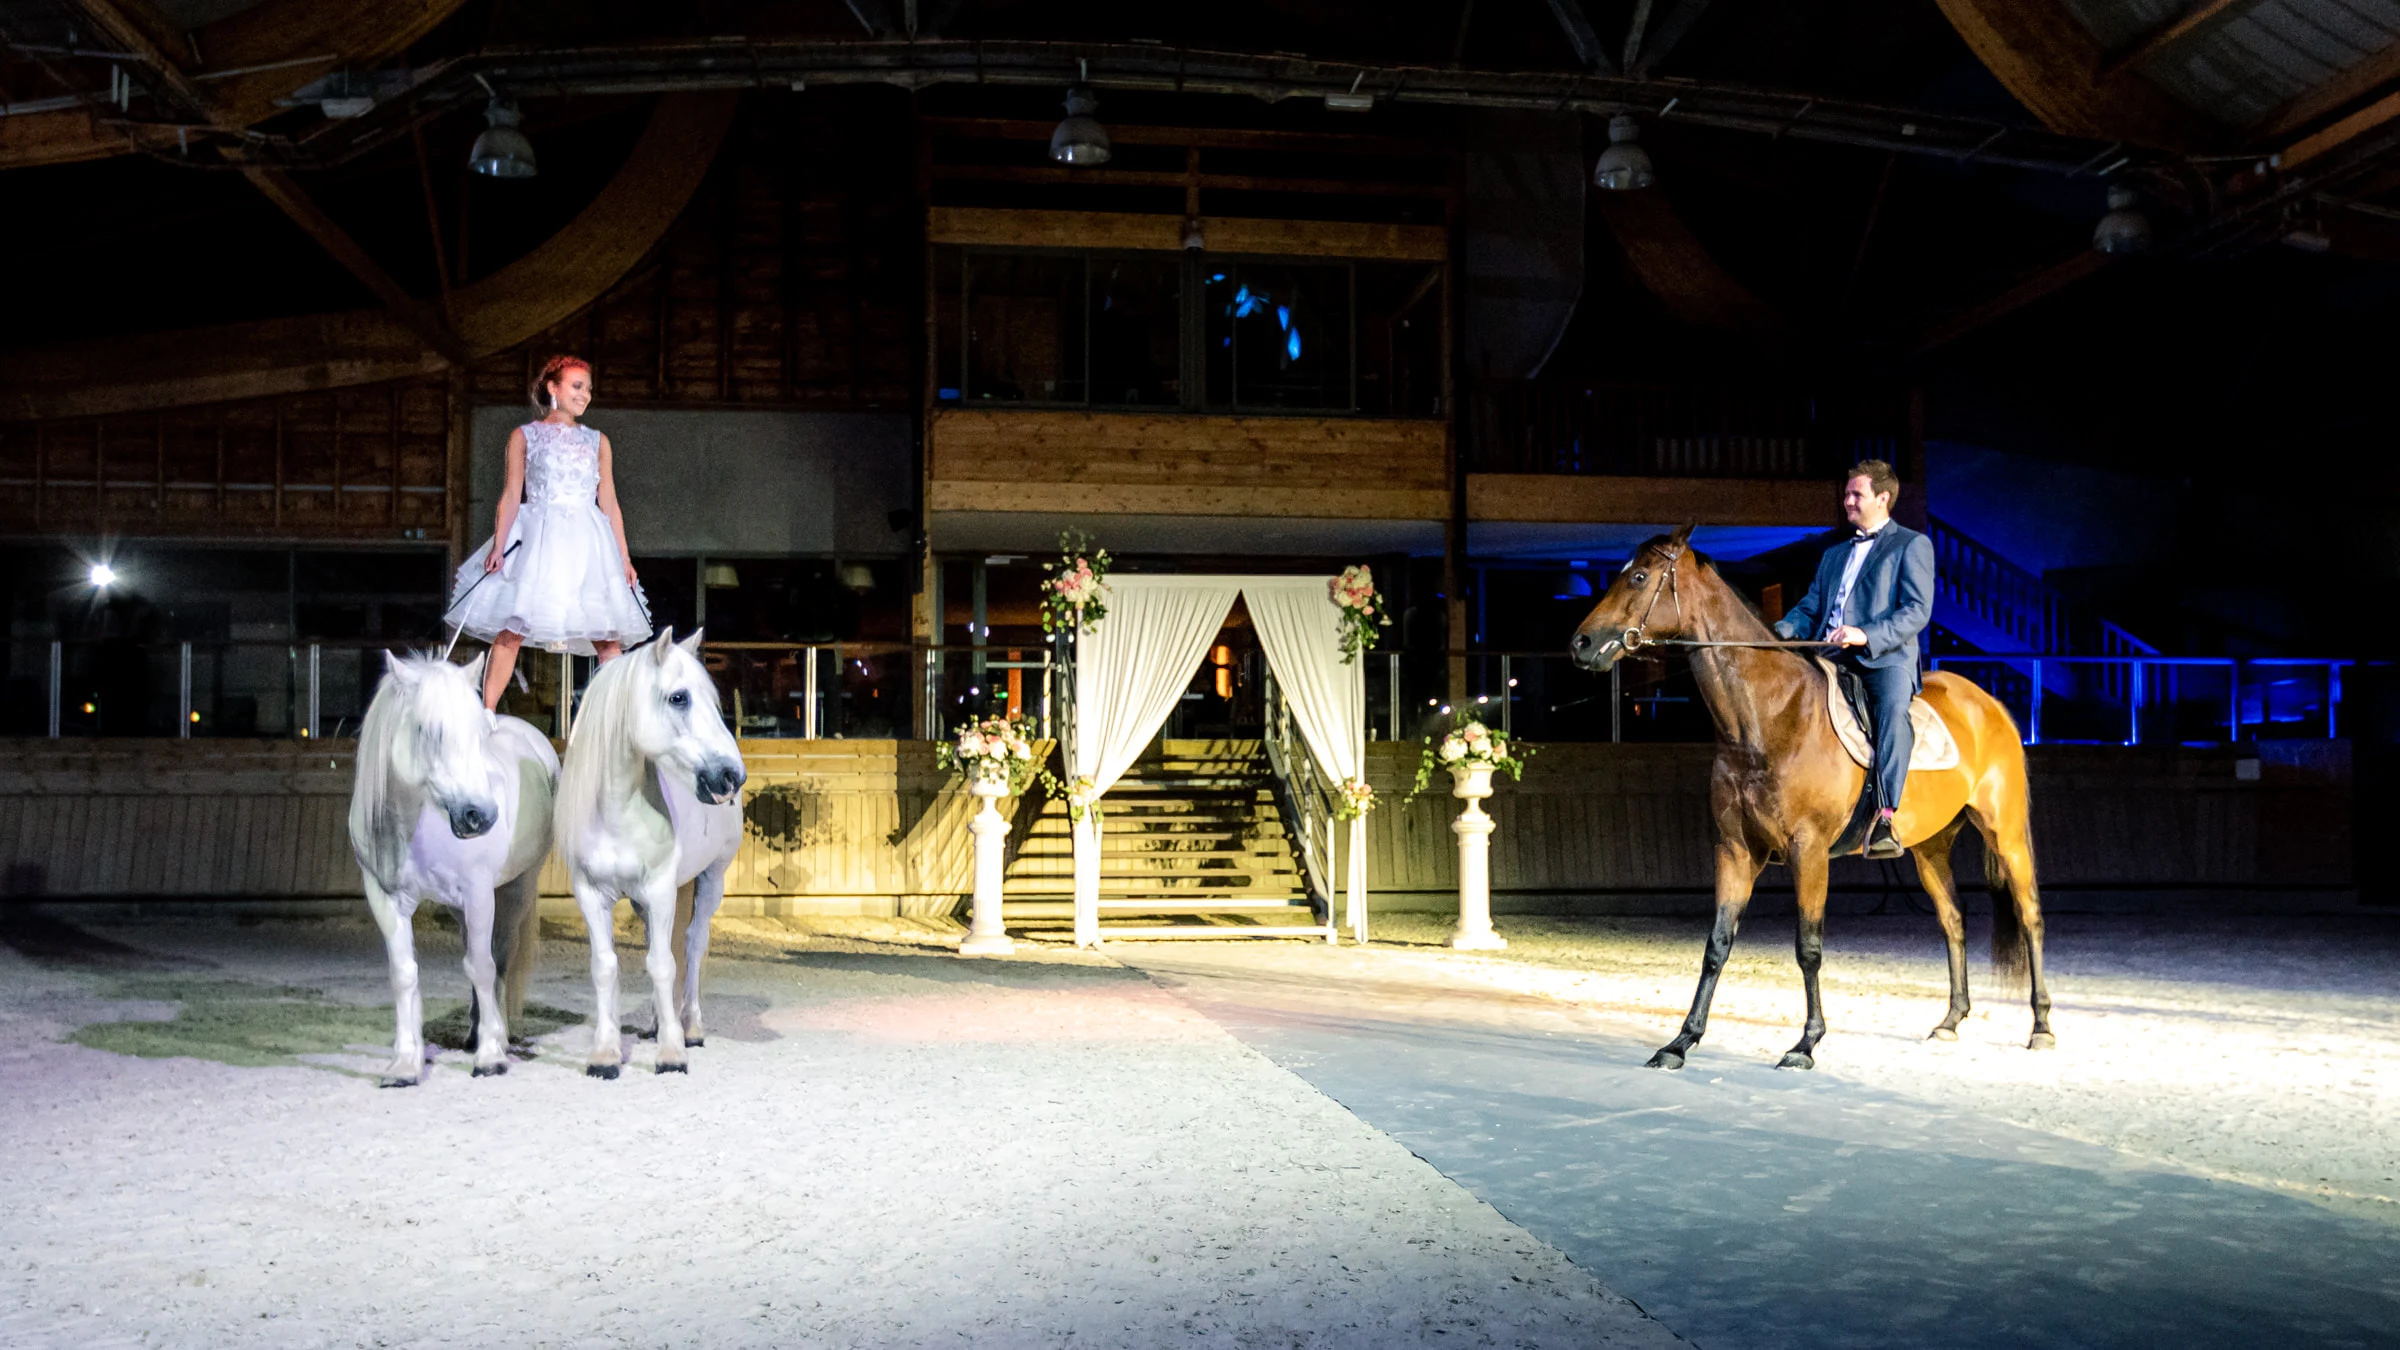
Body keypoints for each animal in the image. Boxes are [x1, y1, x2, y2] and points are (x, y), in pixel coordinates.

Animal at [347, 652, 558, 1086]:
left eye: (479, 733)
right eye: (428, 730)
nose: (481, 815)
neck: (414, 825)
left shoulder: (478, 894)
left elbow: (482, 966)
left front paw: (491, 1056)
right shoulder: (385, 899)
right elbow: (405, 973)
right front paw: (405, 1064)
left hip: (515, 889)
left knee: (499, 957)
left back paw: (499, 1034)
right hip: (459, 908)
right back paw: (475, 1031)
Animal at [553, 628, 746, 1078]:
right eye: (679, 697)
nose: (732, 776)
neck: (617, 816)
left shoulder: (660, 891)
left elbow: (663, 964)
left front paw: (671, 1053)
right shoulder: (592, 895)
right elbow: (607, 966)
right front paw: (605, 1054)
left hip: (711, 879)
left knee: (692, 946)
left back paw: (690, 1027)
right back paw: (658, 1023)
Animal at [1568, 525, 2052, 1070]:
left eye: (1639, 577)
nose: (1581, 643)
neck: (1768, 717)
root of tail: (1989, 704)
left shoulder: (1810, 850)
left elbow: (1809, 947)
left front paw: (1805, 1043)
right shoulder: (1735, 850)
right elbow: (1717, 944)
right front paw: (1680, 1042)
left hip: (2004, 833)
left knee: (2030, 915)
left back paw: (2041, 1027)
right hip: (1929, 845)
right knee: (1953, 919)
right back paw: (1950, 1021)